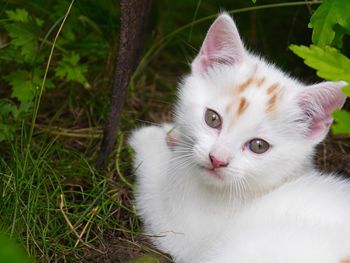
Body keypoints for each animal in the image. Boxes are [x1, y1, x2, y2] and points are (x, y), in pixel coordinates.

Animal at [129, 13, 350, 262]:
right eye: (212, 119)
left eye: (258, 146)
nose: (217, 159)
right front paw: (174, 134)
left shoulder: (182, 233)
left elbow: (154, 189)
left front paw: (147, 139)